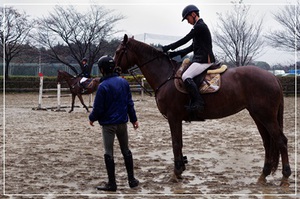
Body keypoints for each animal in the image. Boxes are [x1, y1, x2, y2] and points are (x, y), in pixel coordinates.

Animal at [114, 33, 290, 187]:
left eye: (118, 51)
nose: (111, 70)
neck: (166, 76)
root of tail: (273, 77)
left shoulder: (173, 117)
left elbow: (175, 143)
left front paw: (176, 173)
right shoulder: (177, 119)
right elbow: (179, 143)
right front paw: (180, 170)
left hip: (266, 116)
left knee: (280, 141)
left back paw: (285, 178)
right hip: (257, 115)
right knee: (268, 143)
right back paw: (263, 175)